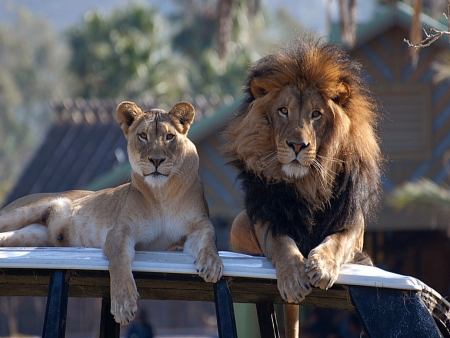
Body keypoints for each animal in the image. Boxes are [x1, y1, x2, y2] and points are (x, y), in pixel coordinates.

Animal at [0, 101, 223, 324]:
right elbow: (119, 261)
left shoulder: (197, 225)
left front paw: (212, 263)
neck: (162, 193)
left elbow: (209, 236)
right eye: (143, 135)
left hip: (29, 236)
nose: (156, 160)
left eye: (169, 136)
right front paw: (123, 303)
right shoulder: (120, 230)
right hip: (23, 211)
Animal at [221, 35, 380, 336]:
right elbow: (282, 245)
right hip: (239, 223)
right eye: (283, 111)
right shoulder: (269, 219)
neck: (308, 183)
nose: (297, 145)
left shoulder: (352, 223)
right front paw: (294, 277)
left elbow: (337, 242)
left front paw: (322, 266)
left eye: (316, 114)